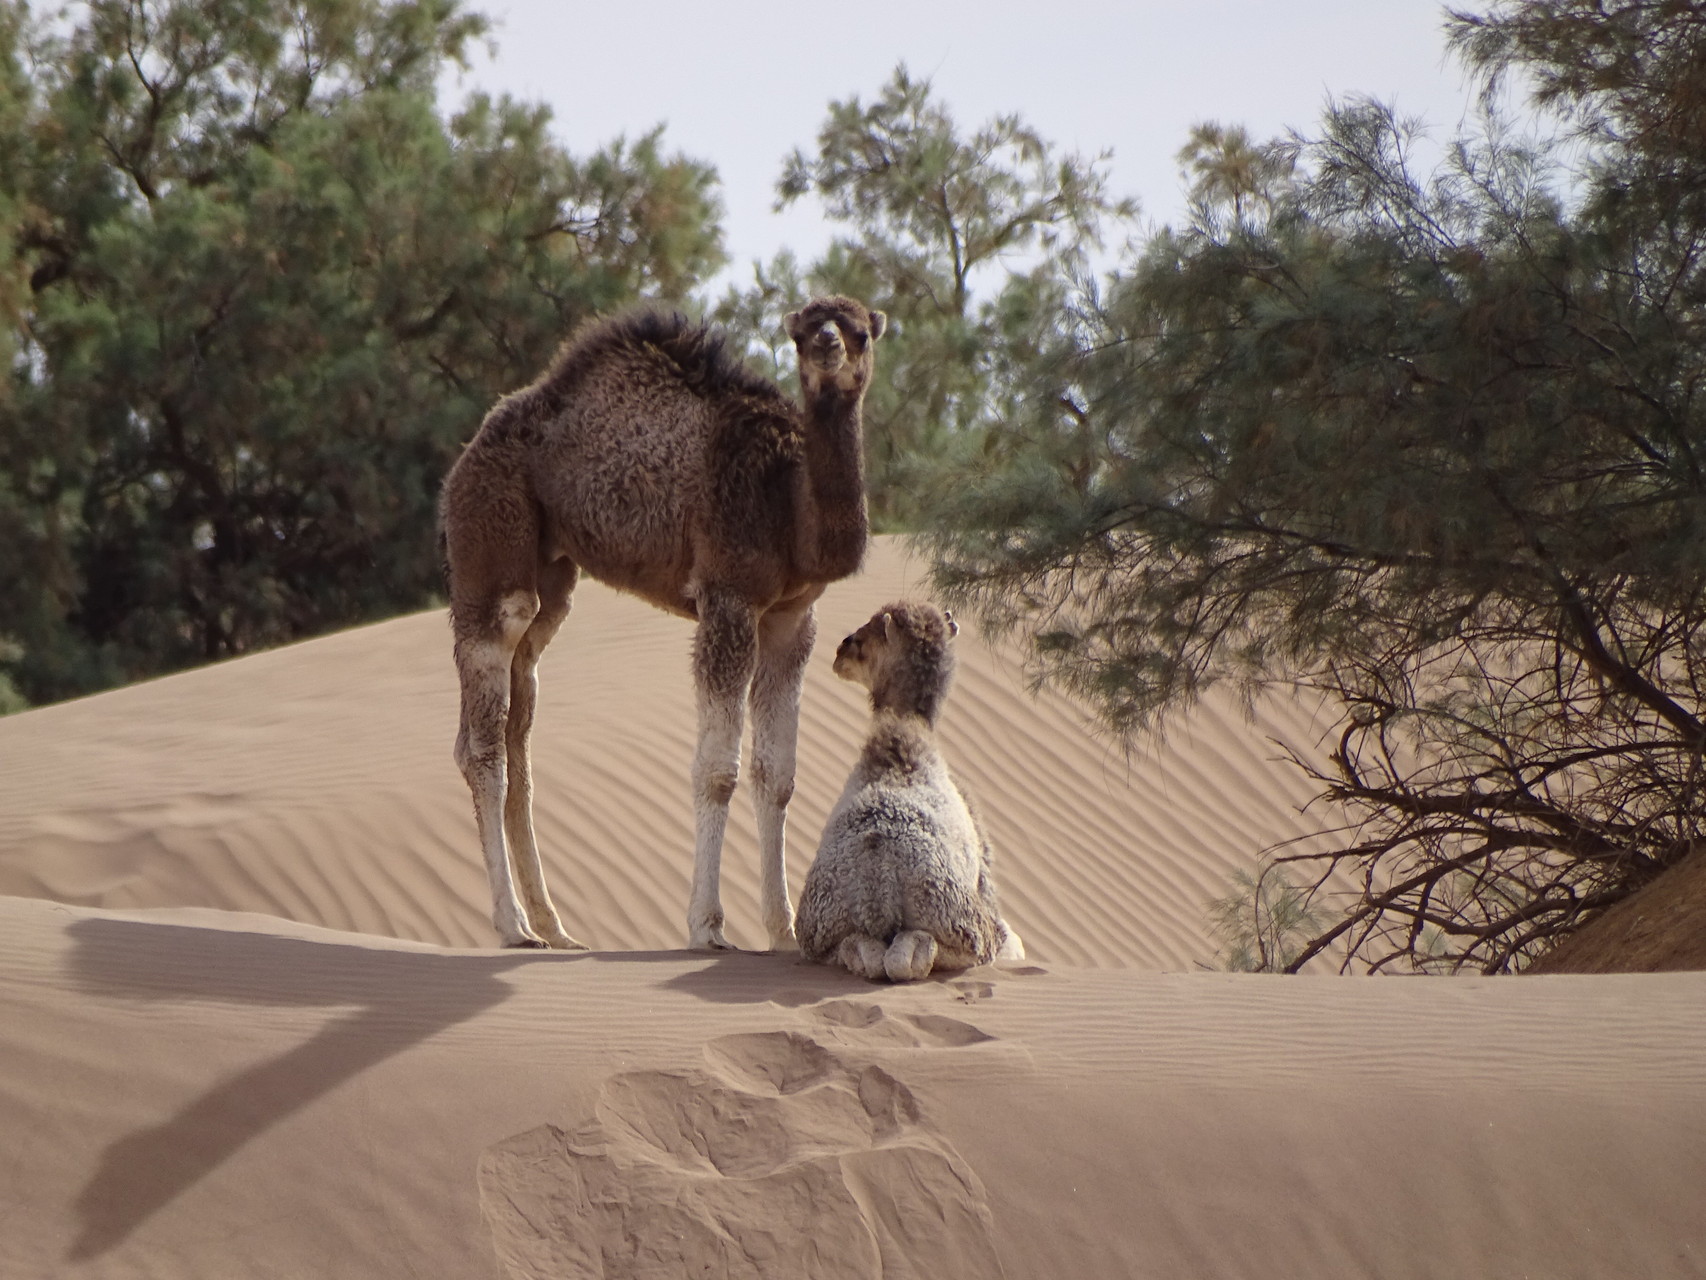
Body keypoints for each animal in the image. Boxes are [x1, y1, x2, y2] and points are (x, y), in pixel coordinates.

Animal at [440, 298, 887, 955]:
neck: (789, 498)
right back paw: (513, 926)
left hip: (553, 579)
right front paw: (707, 927)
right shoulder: (727, 598)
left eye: (858, 331)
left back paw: (554, 926)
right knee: (484, 738)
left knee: (519, 728)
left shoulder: (790, 618)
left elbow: (777, 775)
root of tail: (464, 457)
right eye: (805, 333)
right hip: (489, 537)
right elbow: (718, 770)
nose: (830, 345)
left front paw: (784, 932)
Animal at [791, 600, 1016, 983]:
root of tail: (876, 885)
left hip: (819, 927)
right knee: (928, 953)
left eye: (868, 634)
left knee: (856, 950)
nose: (841, 649)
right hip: (960, 918)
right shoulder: (984, 879)